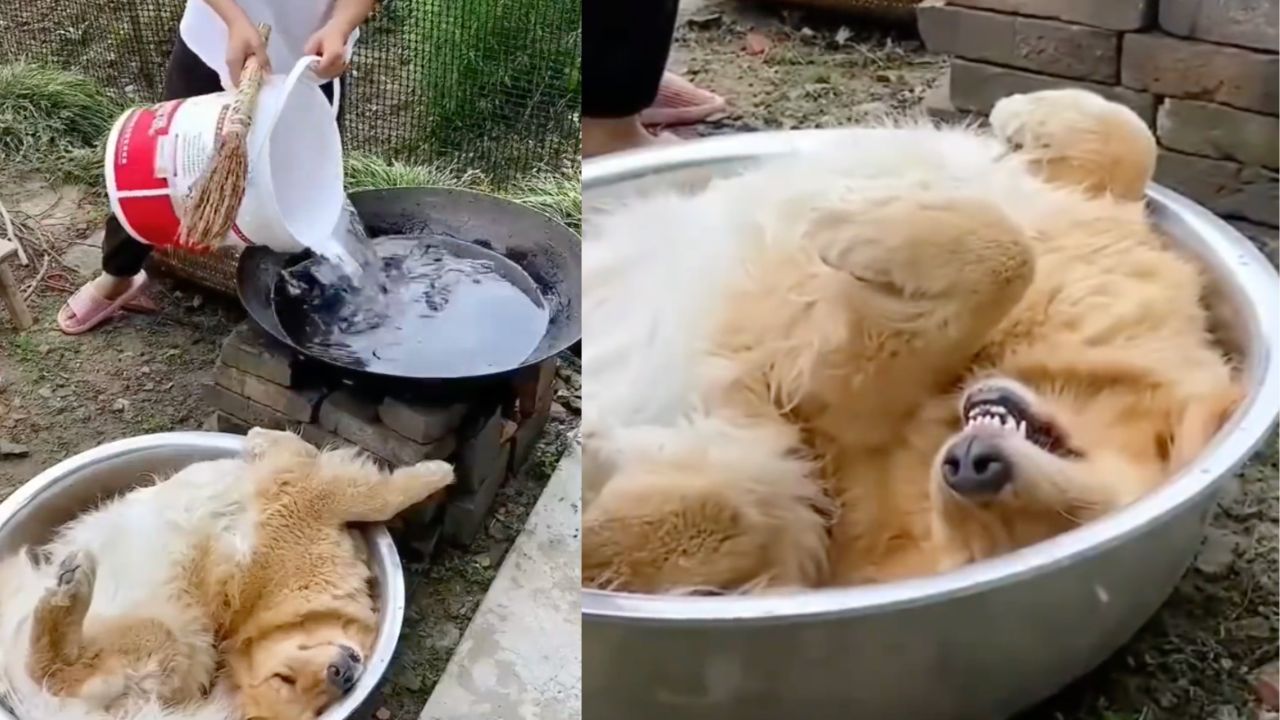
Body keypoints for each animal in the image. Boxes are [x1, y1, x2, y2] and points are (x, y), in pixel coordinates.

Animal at [0, 427, 455, 712]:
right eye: (283, 679)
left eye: (319, 705)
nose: (343, 676)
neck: (287, 598)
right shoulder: (313, 493)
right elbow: (377, 495)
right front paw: (436, 473)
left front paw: (260, 438)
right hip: (161, 636)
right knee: (50, 670)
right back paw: (69, 589)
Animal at [583, 87, 1239, 591]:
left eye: (1071, 519)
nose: (972, 468)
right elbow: (1131, 148)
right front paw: (1026, 112)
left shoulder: (833, 400)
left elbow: (1003, 261)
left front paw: (852, 229)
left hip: (766, 480)